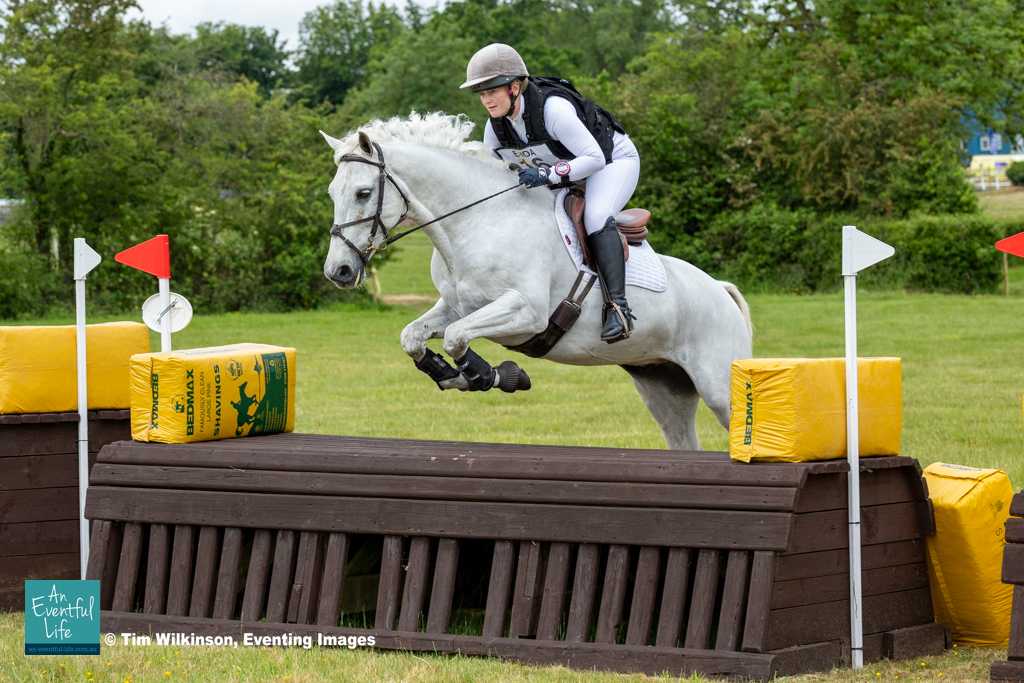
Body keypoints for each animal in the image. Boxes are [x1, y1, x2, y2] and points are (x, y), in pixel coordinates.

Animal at [320, 113, 752, 451]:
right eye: (332, 193)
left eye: (363, 192)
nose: (338, 272)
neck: (477, 221)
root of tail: (722, 290)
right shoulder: (457, 306)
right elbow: (413, 337)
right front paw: (450, 374)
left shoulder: (527, 313)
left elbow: (458, 338)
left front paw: (496, 376)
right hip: (663, 387)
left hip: (719, 387)